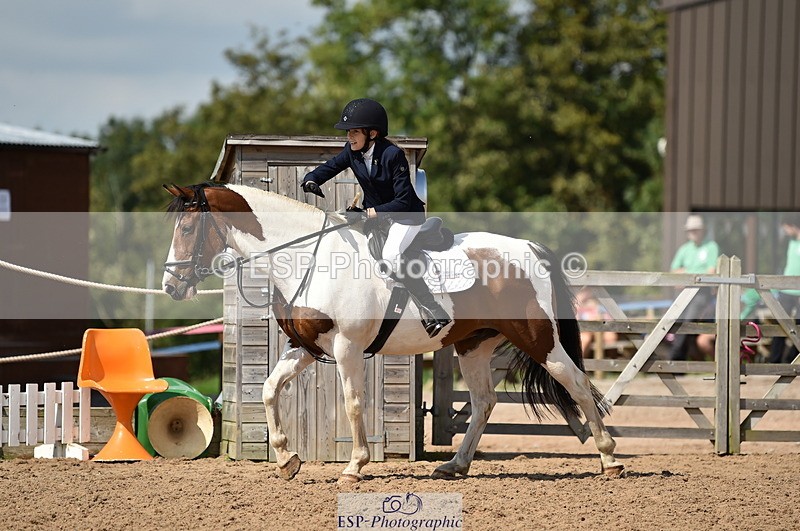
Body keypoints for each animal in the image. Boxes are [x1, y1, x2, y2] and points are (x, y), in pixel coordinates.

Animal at [161, 182, 624, 482]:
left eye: (186, 229)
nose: (171, 287)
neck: (307, 257)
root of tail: (531, 249)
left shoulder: (347, 348)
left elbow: (352, 404)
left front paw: (354, 467)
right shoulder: (305, 347)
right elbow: (270, 389)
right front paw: (287, 459)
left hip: (538, 338)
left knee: (578, 385)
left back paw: (609, 460)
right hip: (473, 346)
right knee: (484, 403)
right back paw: (455, 466)